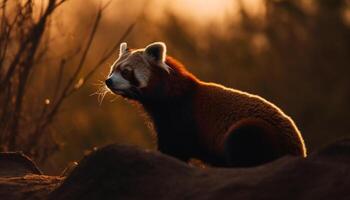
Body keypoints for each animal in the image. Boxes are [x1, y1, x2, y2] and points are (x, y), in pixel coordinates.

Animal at [105, 41, 308, 167]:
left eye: (126, 72)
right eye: (112, 69)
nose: (109, 81)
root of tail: (298, 148)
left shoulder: (180, 117)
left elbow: (174, 149)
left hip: (257, 132)